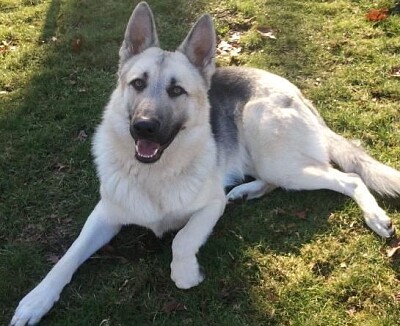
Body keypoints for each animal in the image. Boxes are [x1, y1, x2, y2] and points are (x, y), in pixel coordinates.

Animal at [10, 1, 398, 324]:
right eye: (137, 84)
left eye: (176, 91)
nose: (143, 127)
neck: (155, 175)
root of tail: (296, 91)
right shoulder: (104, 214)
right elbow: (68, 256)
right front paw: (36, 299)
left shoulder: (209, 207)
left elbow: (181, 241)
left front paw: (186, 274)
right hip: (271, 162)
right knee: (273, 181)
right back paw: (245, 191)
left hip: (272, 149)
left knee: (349, 179)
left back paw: (375, 217)